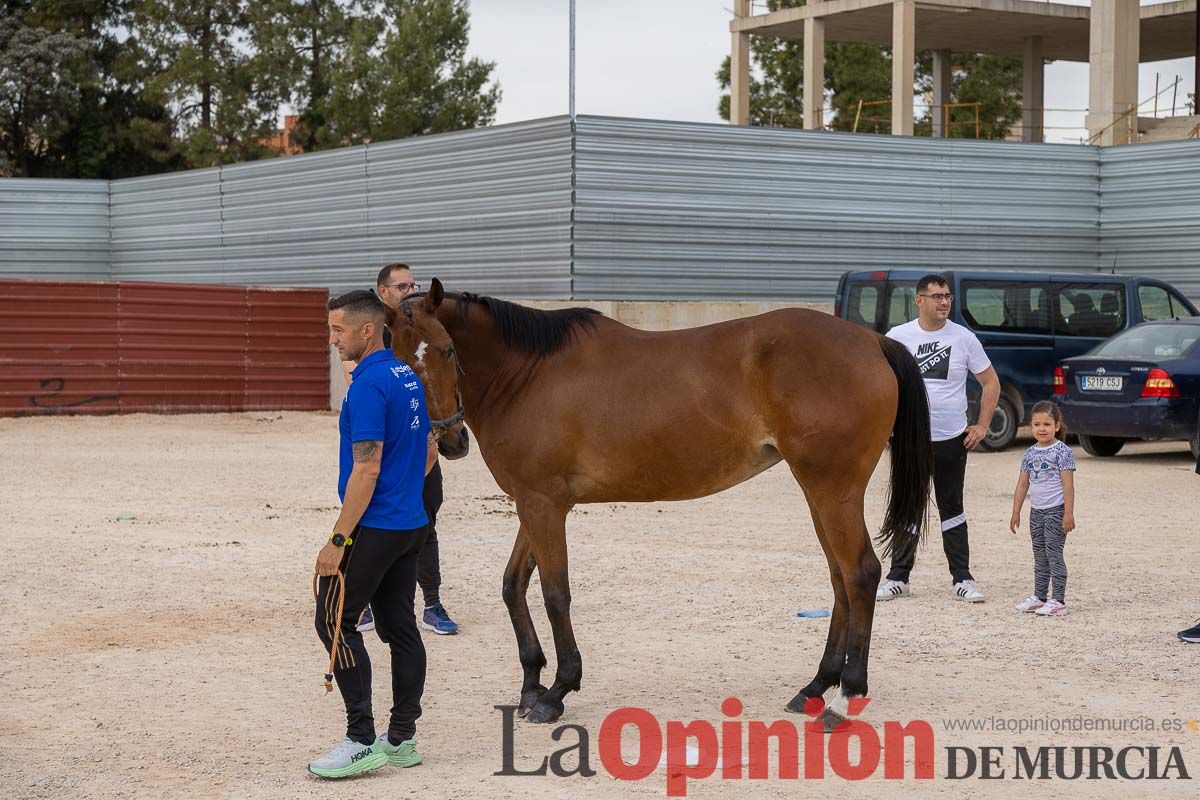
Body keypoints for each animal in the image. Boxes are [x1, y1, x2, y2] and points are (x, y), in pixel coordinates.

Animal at [403, 286, 926, 724]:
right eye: (398, 360)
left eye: (448, 350)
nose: (450, 441)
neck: (527, 373)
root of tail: (873, 342)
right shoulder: (535, 504)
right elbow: (513, 586)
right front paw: (532, 684)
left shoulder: (543, 506)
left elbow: (554, 595)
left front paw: (557, 691)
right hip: (818, 493)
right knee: (840, 578)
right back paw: (816, 686)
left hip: (833, 490)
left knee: (860, 574)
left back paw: (845, 697)